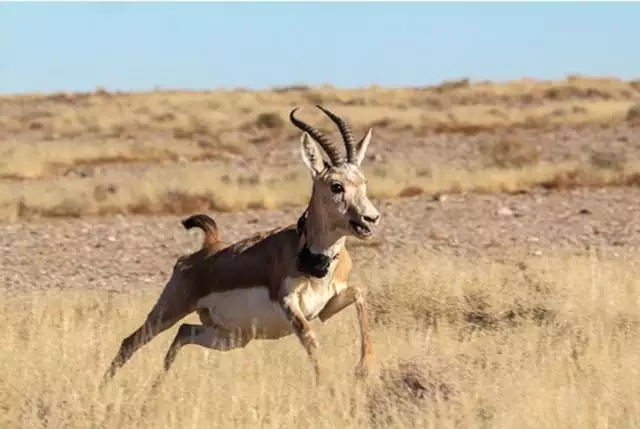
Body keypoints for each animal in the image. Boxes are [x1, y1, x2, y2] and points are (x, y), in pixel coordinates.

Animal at [100, 105, 380, 386]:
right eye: (336, 186)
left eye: (364, 182)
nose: (371, 218)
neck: (312, 258)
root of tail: (207, 249)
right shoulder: (290, 306)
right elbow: (311, 341)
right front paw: (328, 386)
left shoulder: (325, 309)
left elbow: (359, 293)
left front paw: (363, 368)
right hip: (168, 312)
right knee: (131, 341)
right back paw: (105, 387)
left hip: (231, 336)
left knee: (183, 332)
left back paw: (155, 389)